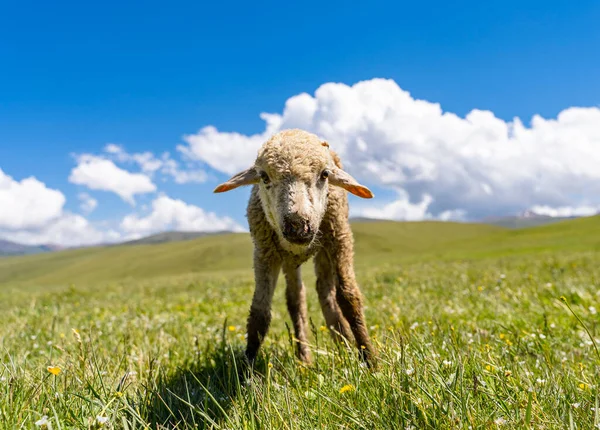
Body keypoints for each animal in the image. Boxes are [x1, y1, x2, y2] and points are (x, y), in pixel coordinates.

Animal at [213, 127, 378, 366]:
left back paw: (344, 344)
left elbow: (348, 297)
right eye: (264, 176)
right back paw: (307, 358)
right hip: (288, 259)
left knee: (326, 292)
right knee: (296, 298)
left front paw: (370, 360)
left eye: (325, 174)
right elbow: (260, 312)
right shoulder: (264, 252)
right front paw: (246, 368)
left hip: (326, 244)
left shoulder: (340, 238)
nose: (298, 226)